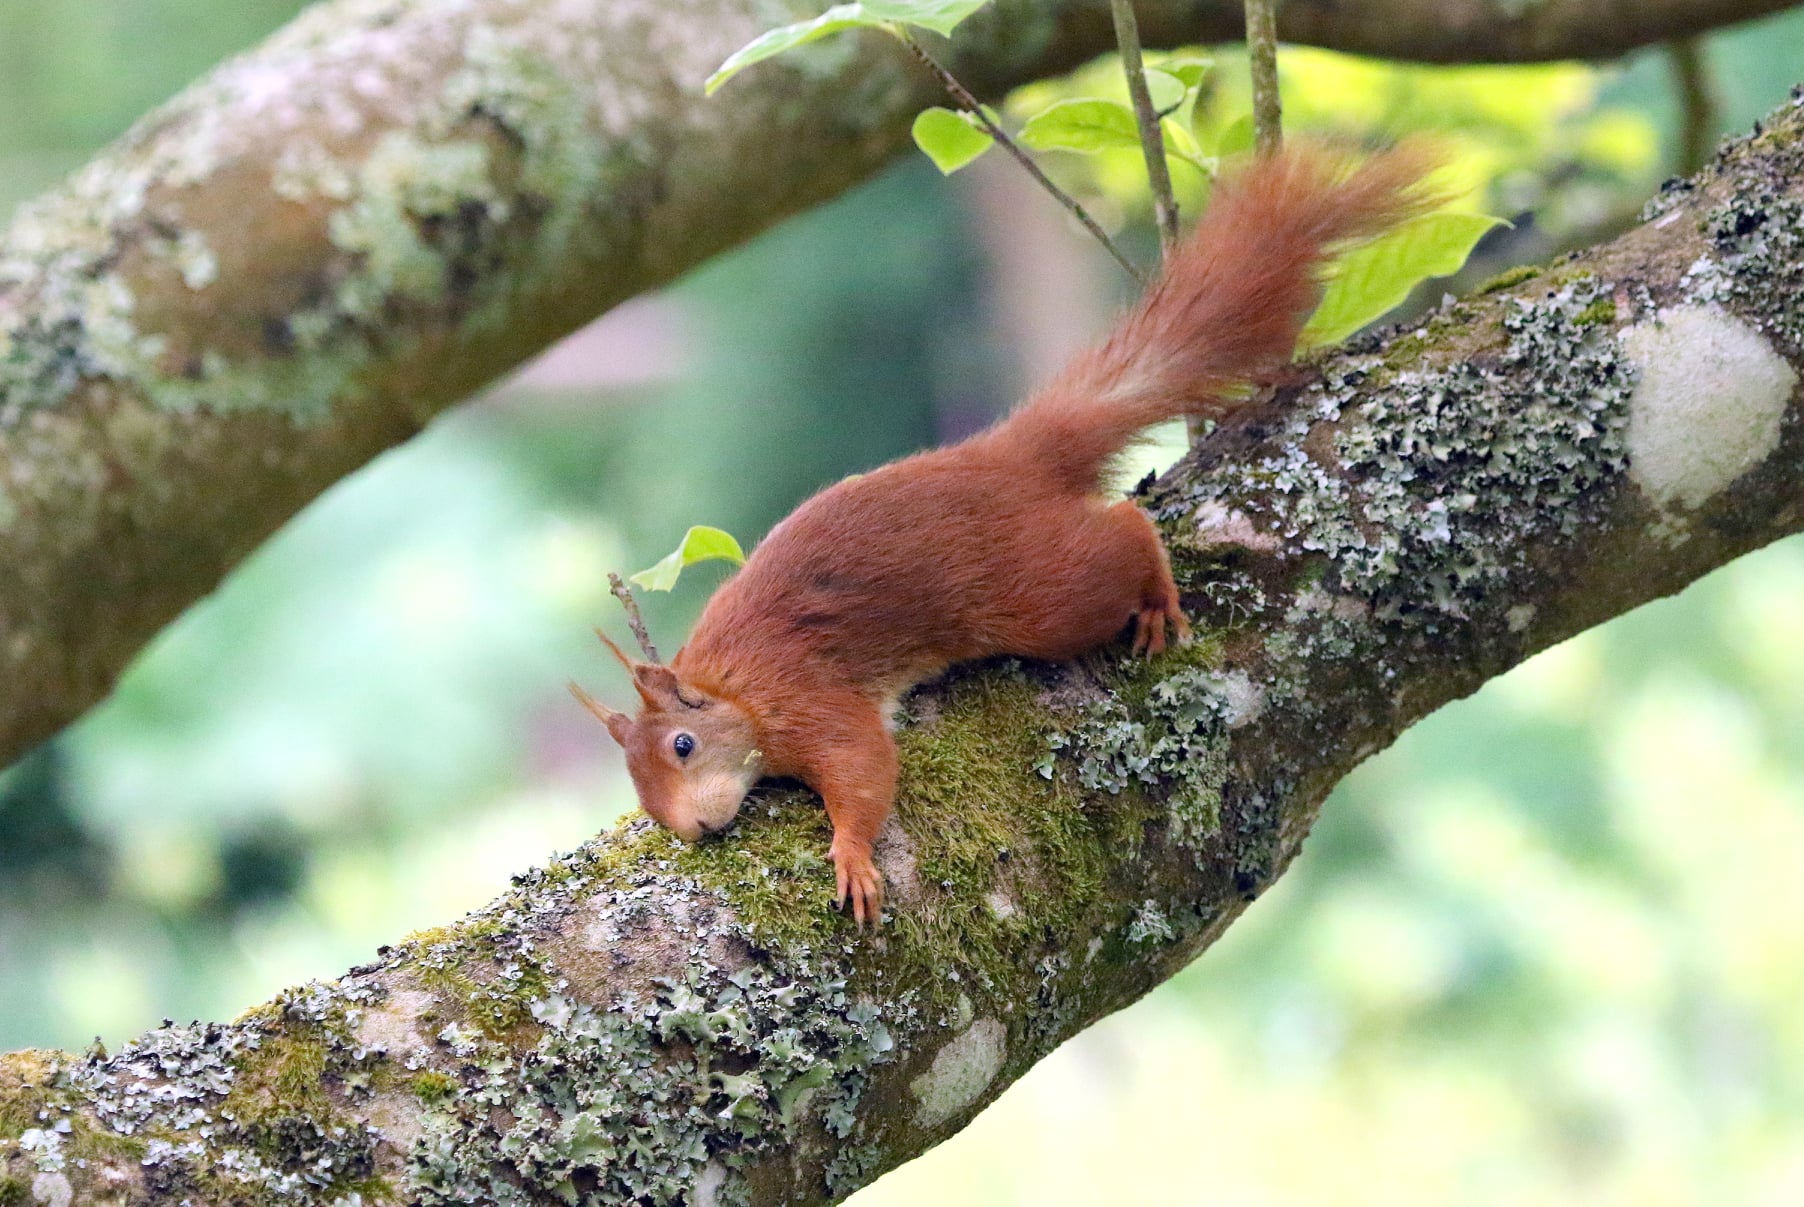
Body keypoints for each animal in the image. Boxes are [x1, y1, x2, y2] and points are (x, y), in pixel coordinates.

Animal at [573, 146, 1435, 930]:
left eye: (684, 745)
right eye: (638, 788)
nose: (694, 829)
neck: (737, 687)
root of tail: (1007, 455)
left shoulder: (810, 696)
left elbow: (863, 768)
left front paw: (851, 855)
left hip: (1038, 594)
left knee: (1123, 530)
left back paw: (1156, 592)